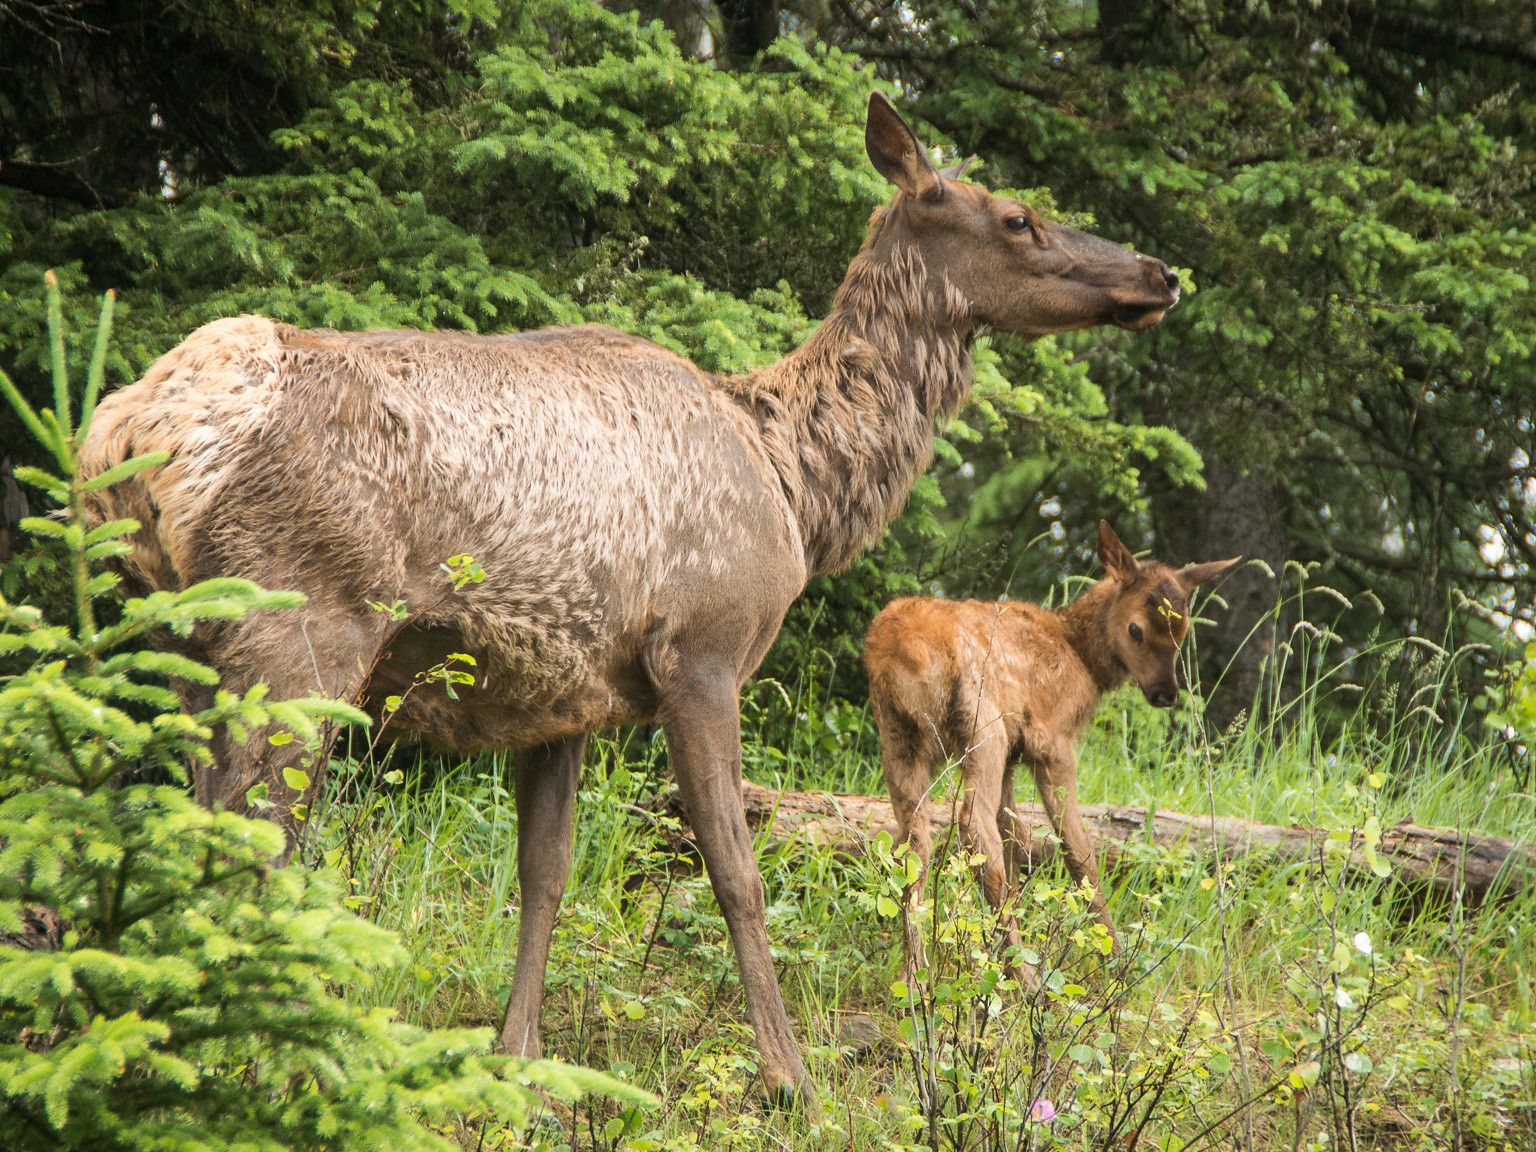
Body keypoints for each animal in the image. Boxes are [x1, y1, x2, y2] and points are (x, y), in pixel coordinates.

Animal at [84, 94, 1179, 1105]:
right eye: (1019, 217)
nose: (1160, 273)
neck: (792, 480)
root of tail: (135, 433)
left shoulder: (560, 696)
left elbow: (545, 871)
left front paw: (520, 1058)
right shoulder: (699, 653)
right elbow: (736, 871)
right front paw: (790, 1076)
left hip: (170, 643)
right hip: (298, 630)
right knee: (251, 836)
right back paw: (258, 1063)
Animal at [866, 522, 1234, 983]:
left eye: (1182, 630)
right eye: (1136, 629)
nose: (1166, 693)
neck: (1082, 656)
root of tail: (905, 652)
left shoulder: (1011, 757)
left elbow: (1016, 835)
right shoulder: (1052, 741)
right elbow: (1077, 848)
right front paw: (1116, 958)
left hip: (900, 738)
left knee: (914, 843)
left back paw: (913, 978)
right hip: (982, 725)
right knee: (972, 826)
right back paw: (1025, 978)